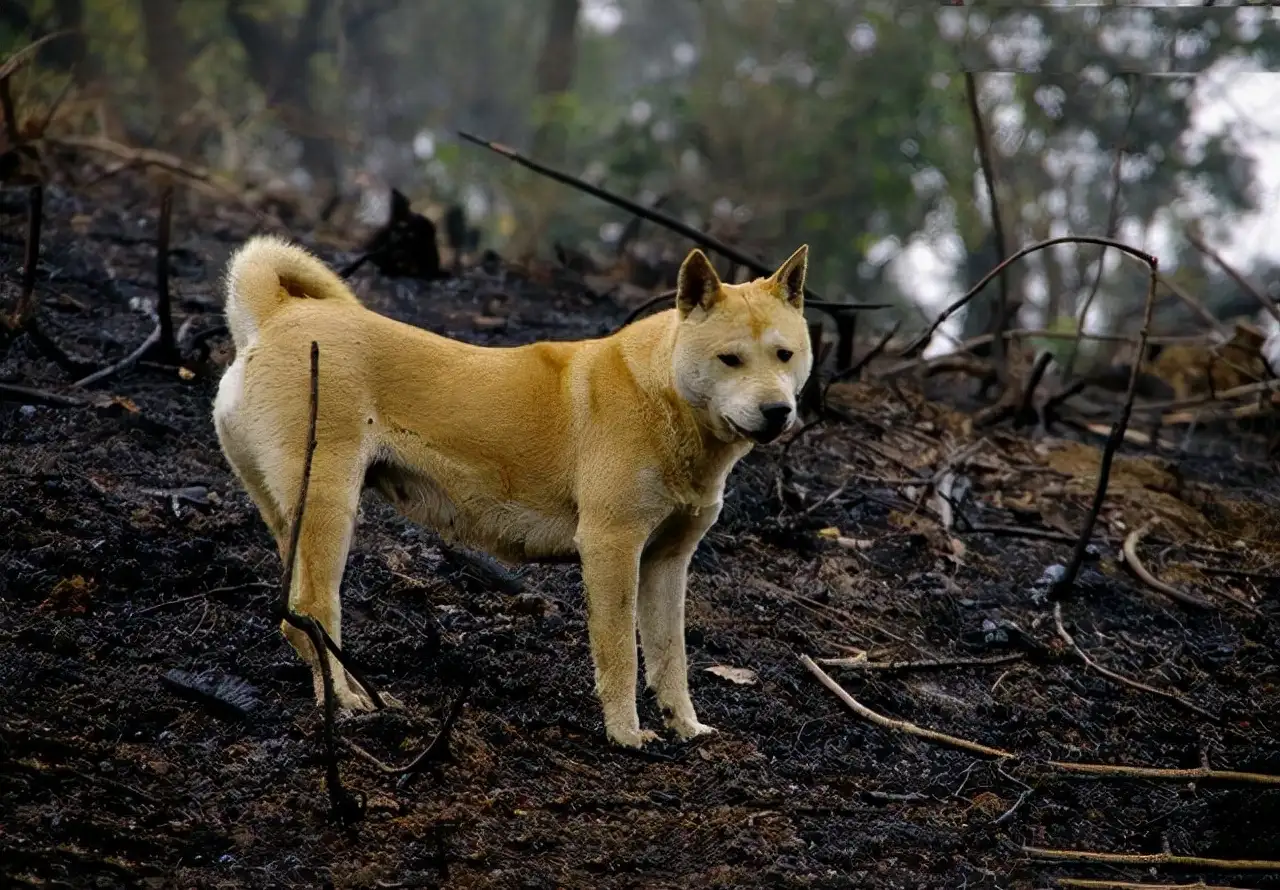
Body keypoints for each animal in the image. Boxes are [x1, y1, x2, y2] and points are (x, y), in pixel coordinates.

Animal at [209, 235, 808, 742]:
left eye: (785, 355)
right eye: (729, 358)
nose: (778, 412)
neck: (661, 394)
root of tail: (275, 314)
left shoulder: (668, 560)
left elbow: (670, 657)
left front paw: (685, 728)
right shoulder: (611, 546)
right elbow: (620, 652)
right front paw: (626, 734)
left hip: (290, 516)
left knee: (293, 620)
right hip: (329, 507)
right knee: (314, 610)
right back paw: (345, 701)